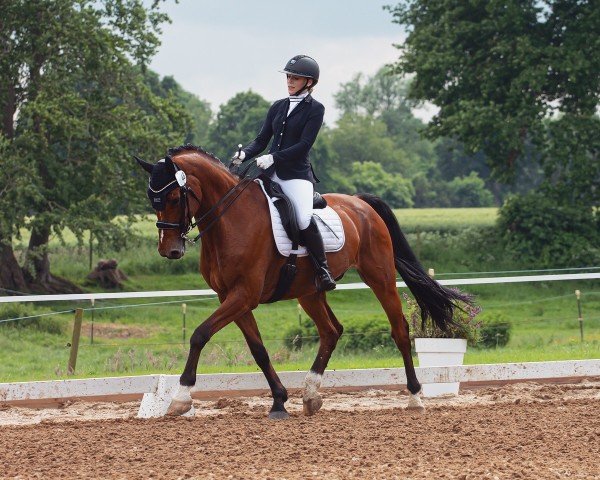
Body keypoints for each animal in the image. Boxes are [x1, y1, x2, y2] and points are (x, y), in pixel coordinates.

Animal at [137, 144, 474, 418]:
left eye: (173, 196)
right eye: (152, 199)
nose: (169, 250)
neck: (231, 220)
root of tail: (361, 203)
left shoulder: (244, 295)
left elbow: (199, 334)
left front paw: (180, 398)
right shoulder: (230, 297)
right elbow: (258, 350)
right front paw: (279, 401)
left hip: (380, 277)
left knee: (399, 330)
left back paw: (415, 397)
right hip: (310, 291)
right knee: (331, 331)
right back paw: (311, 394)